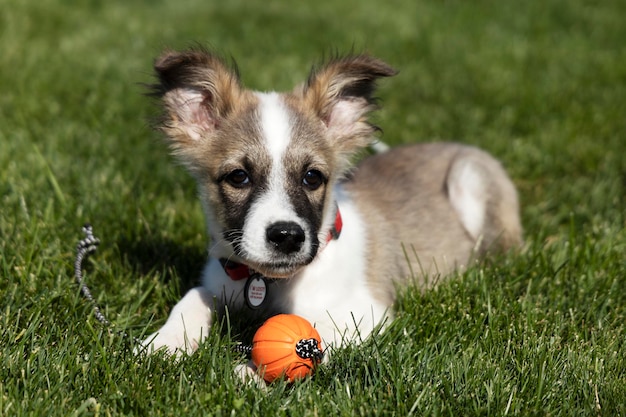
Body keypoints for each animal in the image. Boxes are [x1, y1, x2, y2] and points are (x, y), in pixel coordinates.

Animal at [141, 49, 520, 360]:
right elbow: (194, 296)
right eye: (238, 177)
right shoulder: (218, 282)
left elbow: (313, 337)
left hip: (467, 178)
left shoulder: (364, 313)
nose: (287, 237)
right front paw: (163, 343)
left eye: (312, 177)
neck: (270, 283)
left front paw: (252, 374)